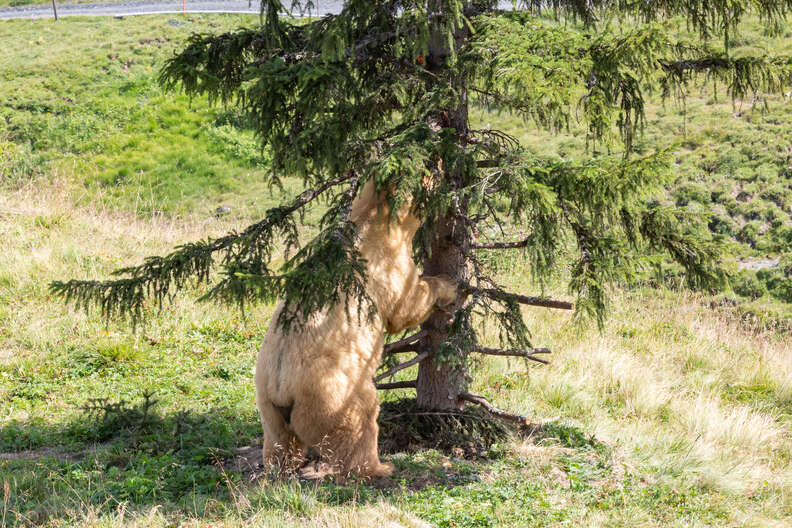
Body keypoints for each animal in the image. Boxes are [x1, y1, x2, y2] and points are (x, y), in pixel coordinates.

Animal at [256, 180, 454, 478]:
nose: (442, 172)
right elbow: (405, 305)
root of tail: (282, 386)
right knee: (359, 422)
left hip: (268, 405)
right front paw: (449, 285)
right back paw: (379, 466)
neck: (374, 221)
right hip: (333, 393)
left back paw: (279, 466)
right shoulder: (387, 264)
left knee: (279, 441)